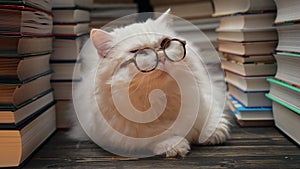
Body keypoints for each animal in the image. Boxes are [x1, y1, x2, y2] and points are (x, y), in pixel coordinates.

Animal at [71, 8, 231, 157]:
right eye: (137, 52)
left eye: (165, 44)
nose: (162, 57)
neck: (162, 98)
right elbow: (158, 137)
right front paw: (175, 146)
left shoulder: (205, 96)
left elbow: (211, 118)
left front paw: (213, 133)